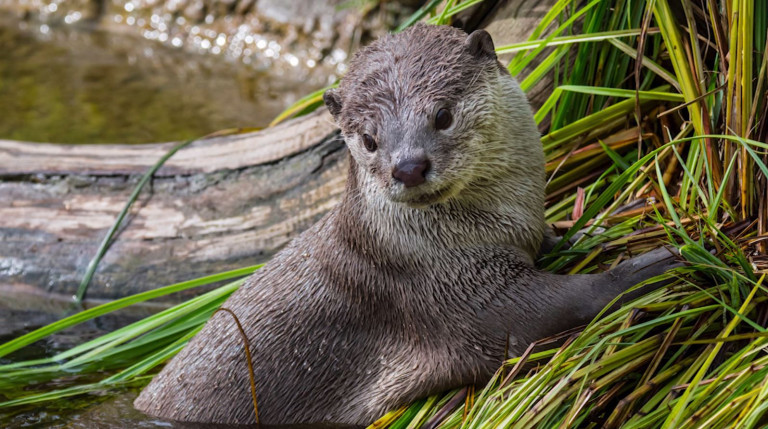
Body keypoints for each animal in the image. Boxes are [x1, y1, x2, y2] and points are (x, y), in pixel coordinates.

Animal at [134, 23, 680, 424]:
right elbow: (540, 313)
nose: (409, 166)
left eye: (442, 115)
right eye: (369, 140)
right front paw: (650, 267)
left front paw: (593, 229)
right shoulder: (446, 290)